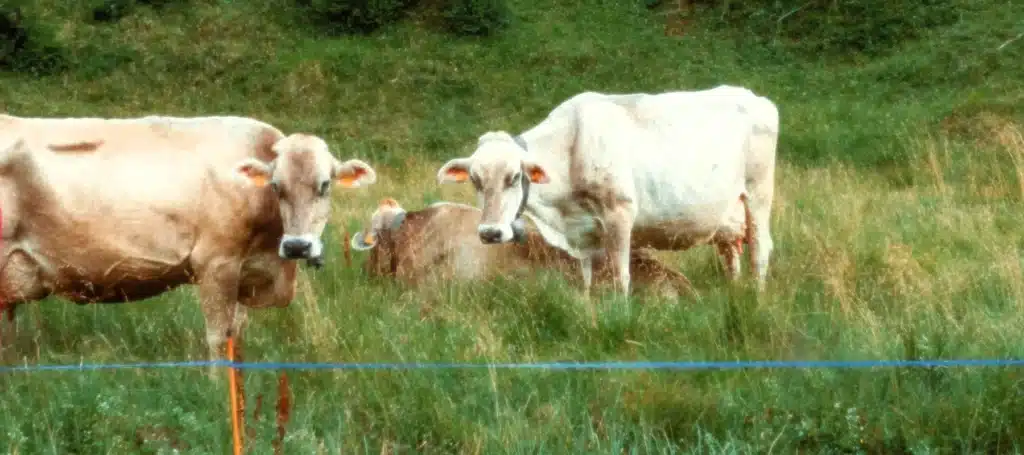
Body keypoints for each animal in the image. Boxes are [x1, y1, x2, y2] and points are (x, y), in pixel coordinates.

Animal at [0, 118, 376, 374]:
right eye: (276, 186)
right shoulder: (216, 263)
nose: (298, 246)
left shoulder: (245, 271)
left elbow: (236, 334)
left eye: (324, 185)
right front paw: (218, 387)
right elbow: (218, 336)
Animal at [435, 84, 778, 297]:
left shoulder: (620, 212)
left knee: (760, 252)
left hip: (759, 193)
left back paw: (756, 301)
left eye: (515, 176)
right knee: (732, 254)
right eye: (475, 180)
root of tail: (757, 98)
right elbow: (585, 279)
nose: (491, 232)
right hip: (728, 218)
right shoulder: (582, 234)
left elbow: (621, 276)